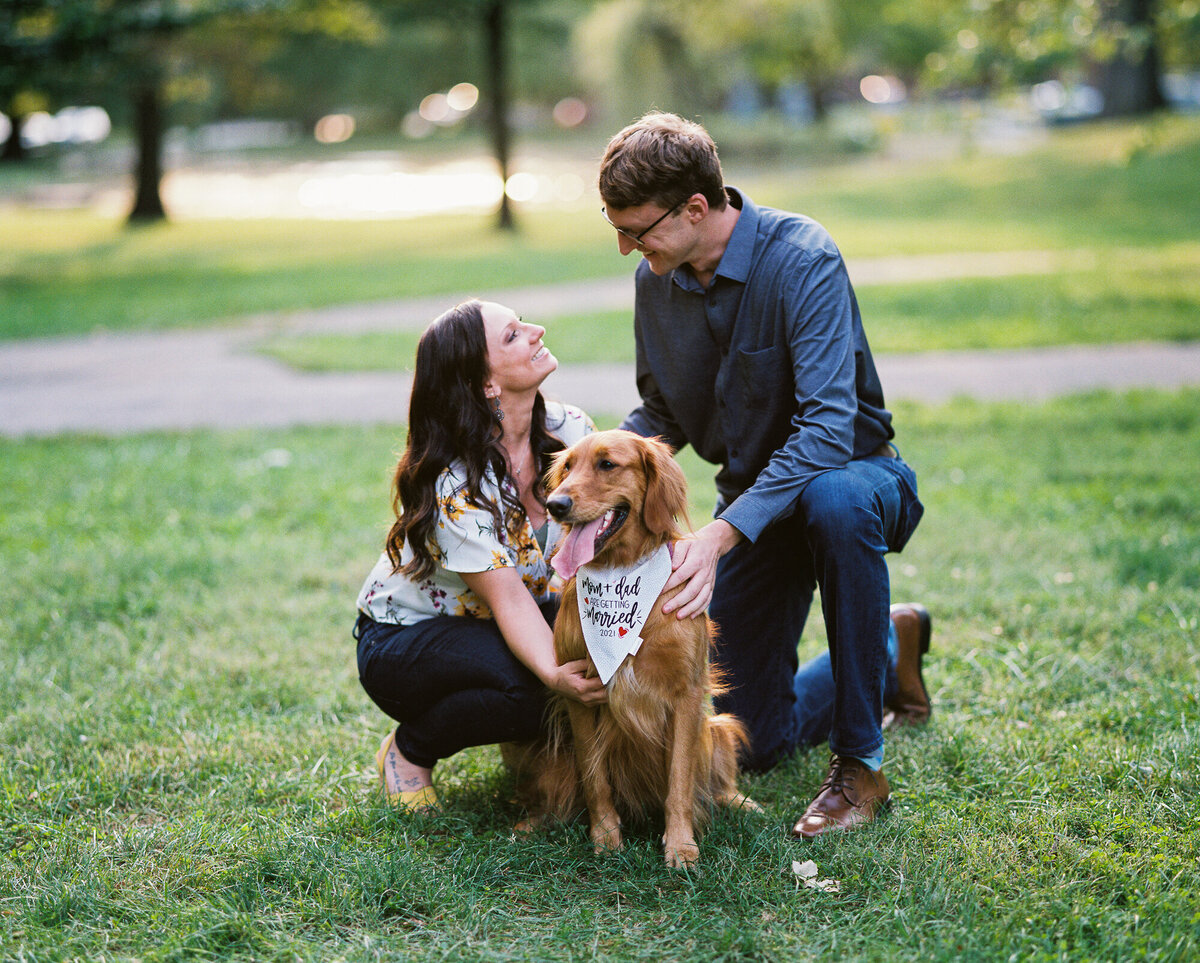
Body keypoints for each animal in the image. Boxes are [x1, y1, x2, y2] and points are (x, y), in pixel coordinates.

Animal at [525, 432, 758, 864]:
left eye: (607, 464)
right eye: (567, 467)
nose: (555, 505)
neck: (622, 573)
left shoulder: (686, 693)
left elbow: (680, 780)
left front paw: (680, 845)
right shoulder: (579, 693)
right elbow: (595, 778)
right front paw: (605, 837)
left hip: (717, 728)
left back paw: (737, 801)